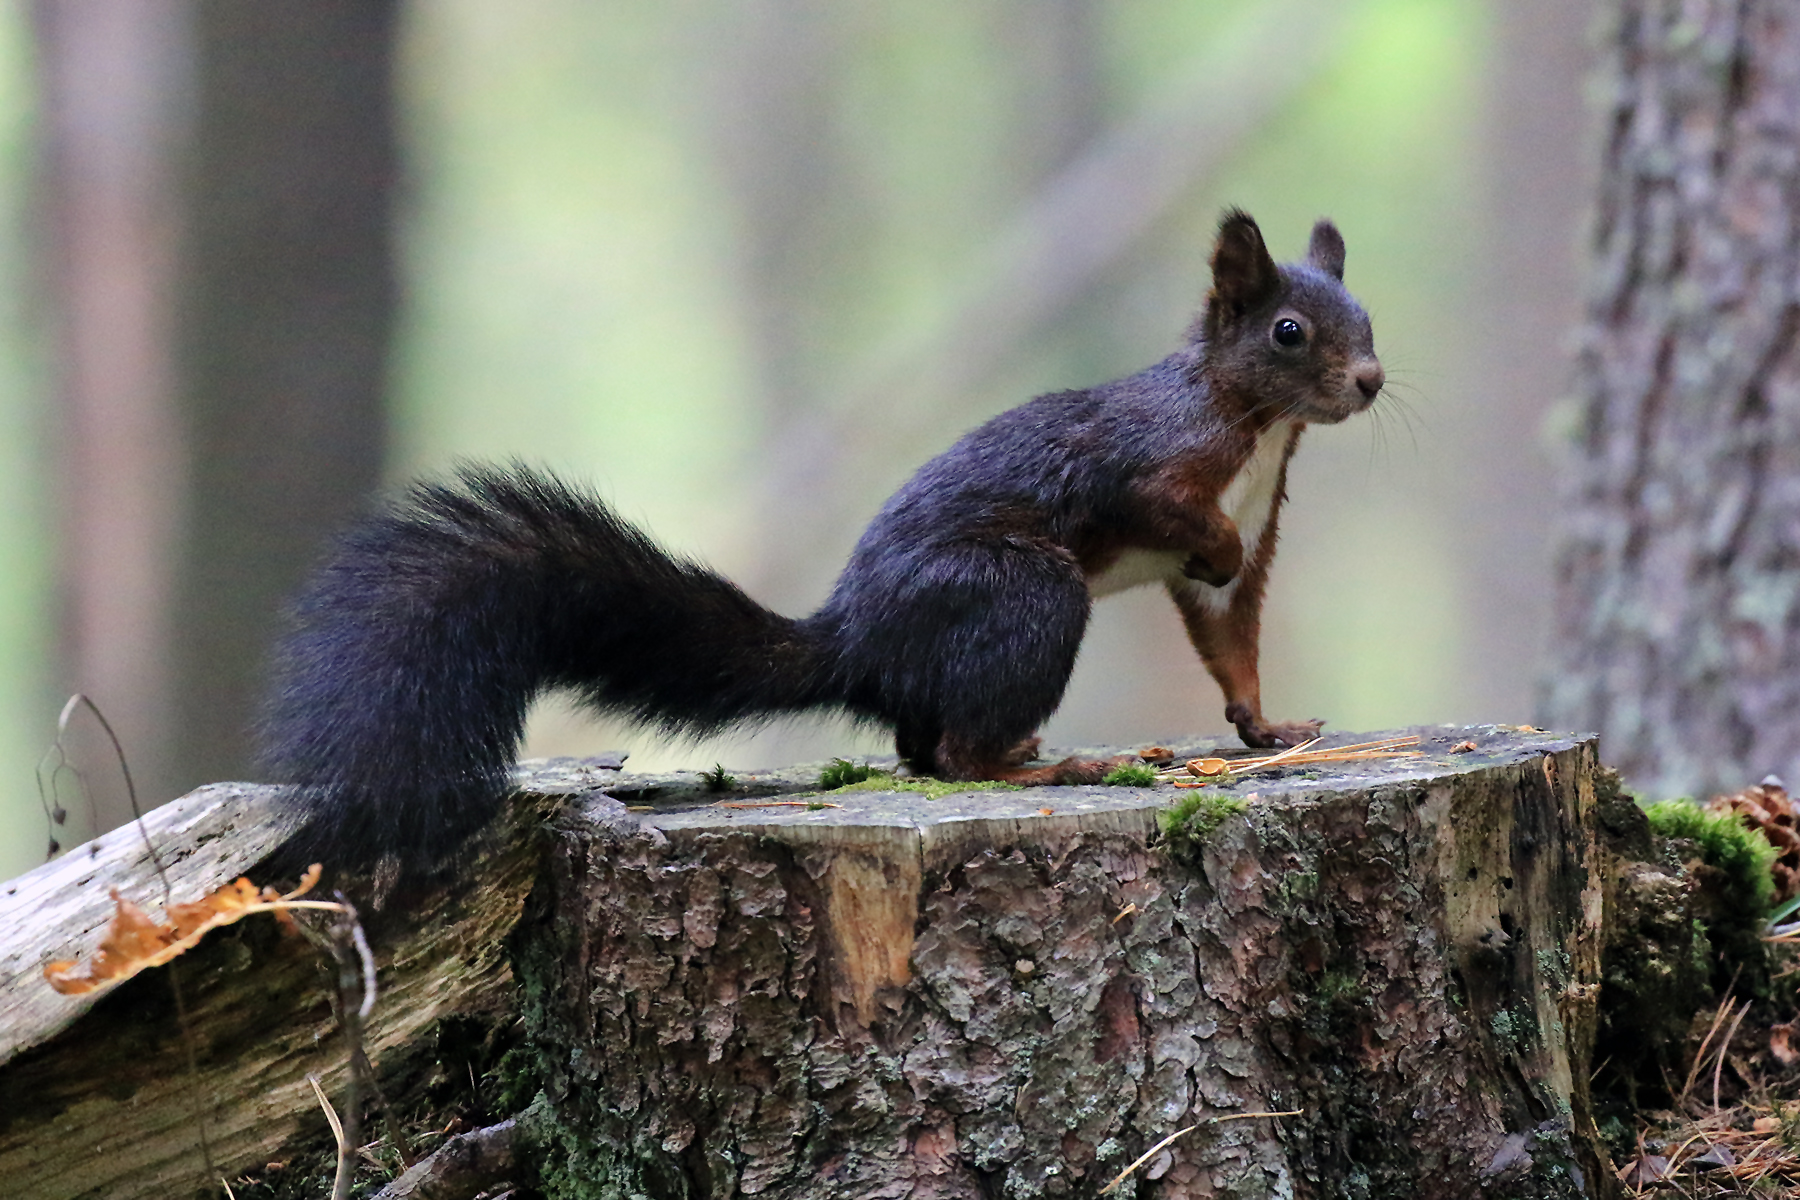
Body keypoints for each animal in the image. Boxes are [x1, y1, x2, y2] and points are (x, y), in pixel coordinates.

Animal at [260, 209, 1383, 868]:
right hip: (1024, 593)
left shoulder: (1249, 535)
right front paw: (1215, 563)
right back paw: (1039, 770)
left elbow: (1230, 637)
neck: (1258, 430)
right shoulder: (1144, 466)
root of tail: (858, 642)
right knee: (951, 756)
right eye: (1288, 332)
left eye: (1368, 321)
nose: (1371, 381)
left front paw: (1268, 727)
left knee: (923, 746)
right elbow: (1164, 518)